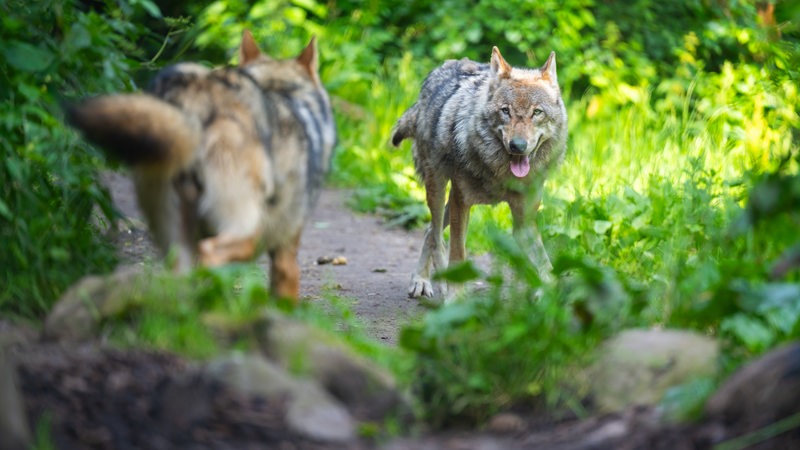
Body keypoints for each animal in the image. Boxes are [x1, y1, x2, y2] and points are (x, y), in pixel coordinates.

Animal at [390, 46, 564, 298]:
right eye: (505, 111)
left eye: (537, 112)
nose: (517, 146)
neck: (500, 174)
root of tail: (442, 67)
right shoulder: (461, 202)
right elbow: (458, 253)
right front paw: (455, 296)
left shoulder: (524, 221)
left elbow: (544, 263)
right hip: (438, 189)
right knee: (435, 236)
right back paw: (427, 281)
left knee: (429, 231)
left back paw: (423, 279)